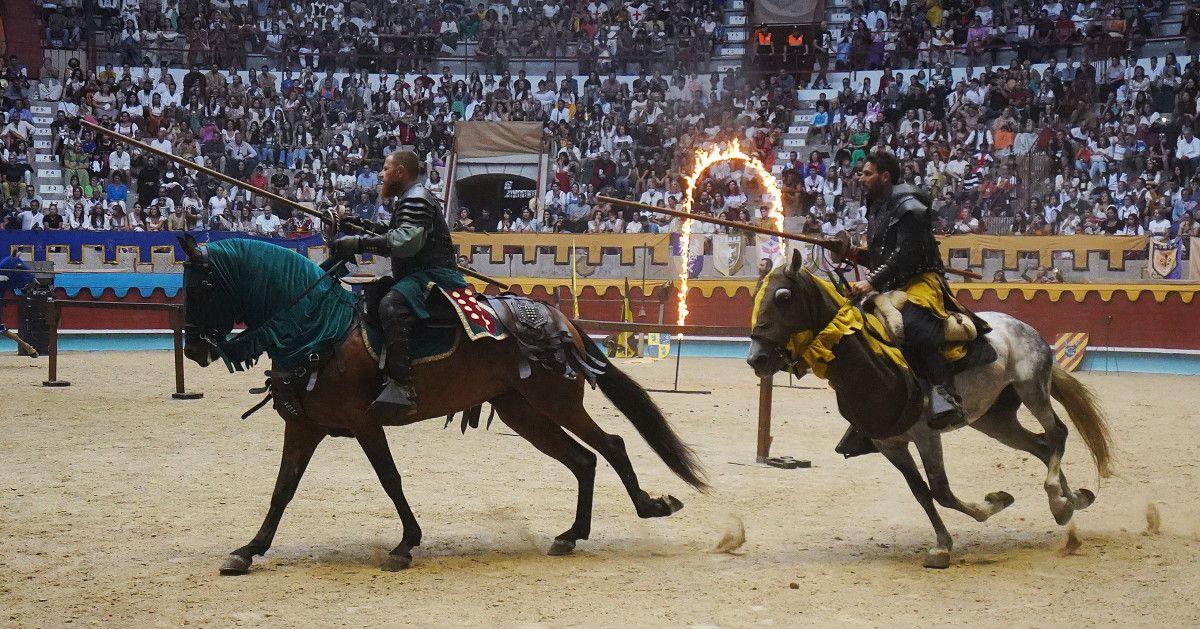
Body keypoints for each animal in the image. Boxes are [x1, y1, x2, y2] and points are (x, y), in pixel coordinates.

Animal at [176, 235, 700, 573]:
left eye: (201, 286)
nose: (194, 348)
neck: (319, 330)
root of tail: (561, 320)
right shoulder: (304, 426)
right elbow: (283, 489)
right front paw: (248, 550)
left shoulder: (364, 423)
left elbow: (390, 480)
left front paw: (405, 544)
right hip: (523, 412)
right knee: (583, 459)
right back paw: (571, 535)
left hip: (556, 402)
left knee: (610, 446)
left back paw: (649, 507)